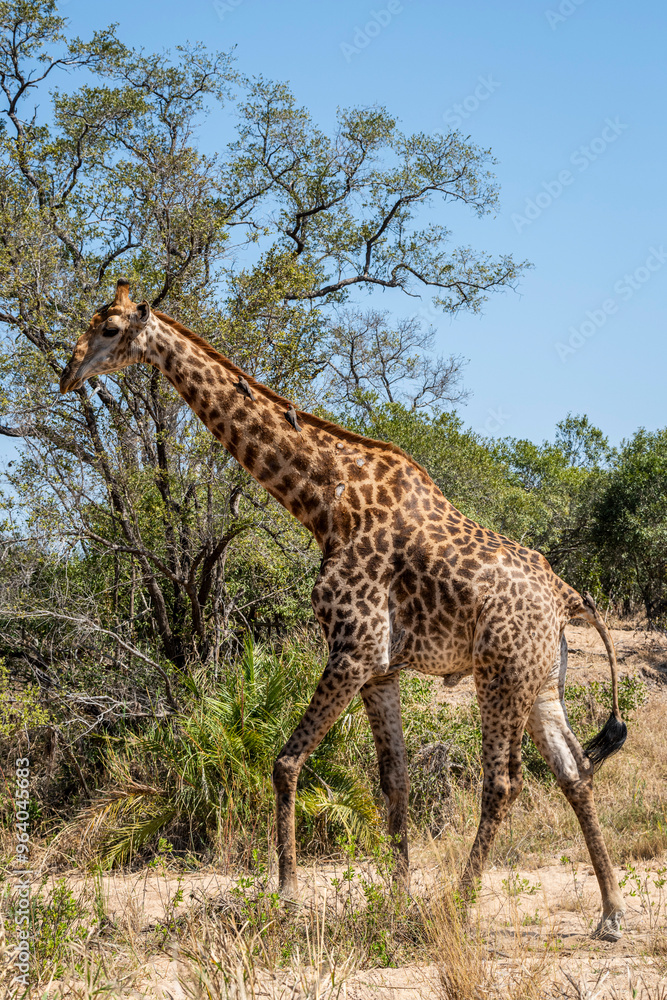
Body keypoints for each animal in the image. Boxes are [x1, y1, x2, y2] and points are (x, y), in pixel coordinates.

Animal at [60, 279, 628, 941]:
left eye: (109, 328)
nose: (70, 373)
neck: (323, 502)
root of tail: (567, 596)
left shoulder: (352, 649)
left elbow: (285, 761)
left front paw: (286, 895)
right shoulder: (379, 668)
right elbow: (394, 780)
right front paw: (397, 897)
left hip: (501, 676)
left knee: (503, 780)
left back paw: (459, 904)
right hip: (542, 683)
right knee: (574, 772)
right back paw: (610, 912)